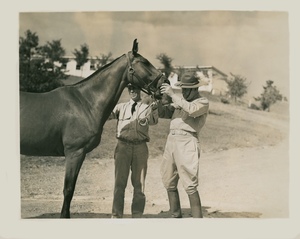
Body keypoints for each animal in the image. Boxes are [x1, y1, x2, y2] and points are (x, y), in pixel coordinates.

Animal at [19, 39, 166, 218]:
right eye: (144, 62)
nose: (165, 84)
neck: (85, 102)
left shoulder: (79, 155)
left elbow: (71, 189)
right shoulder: (74, 153)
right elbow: (68, 189)